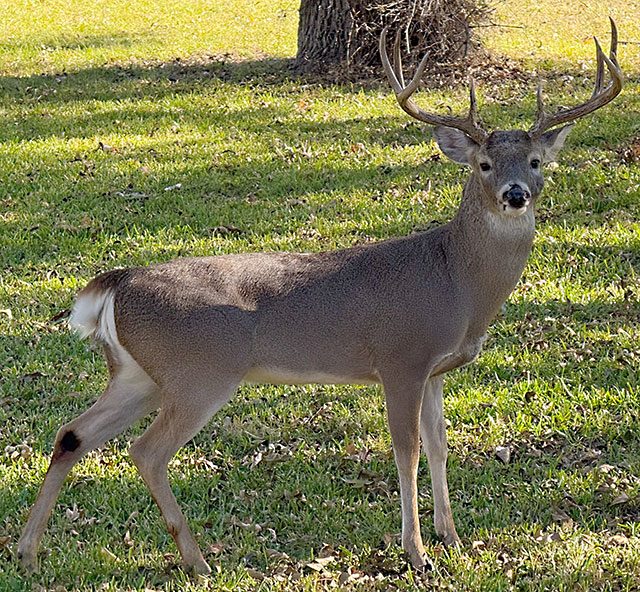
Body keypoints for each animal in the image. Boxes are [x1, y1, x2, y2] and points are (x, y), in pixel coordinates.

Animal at [18, 19, 623, 574]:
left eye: (537, 162)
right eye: (485, 164)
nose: (515, 194)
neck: (457, 282)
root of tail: (119, 282)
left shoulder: (435, 370)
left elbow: (441, 447)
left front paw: (450, 538)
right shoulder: (400, 358)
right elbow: (407, 452)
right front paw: (417, 553)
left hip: (138, 374)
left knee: (71, 435)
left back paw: (27, 552)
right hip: (200, 371)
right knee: (145, 451)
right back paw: (197, 560)